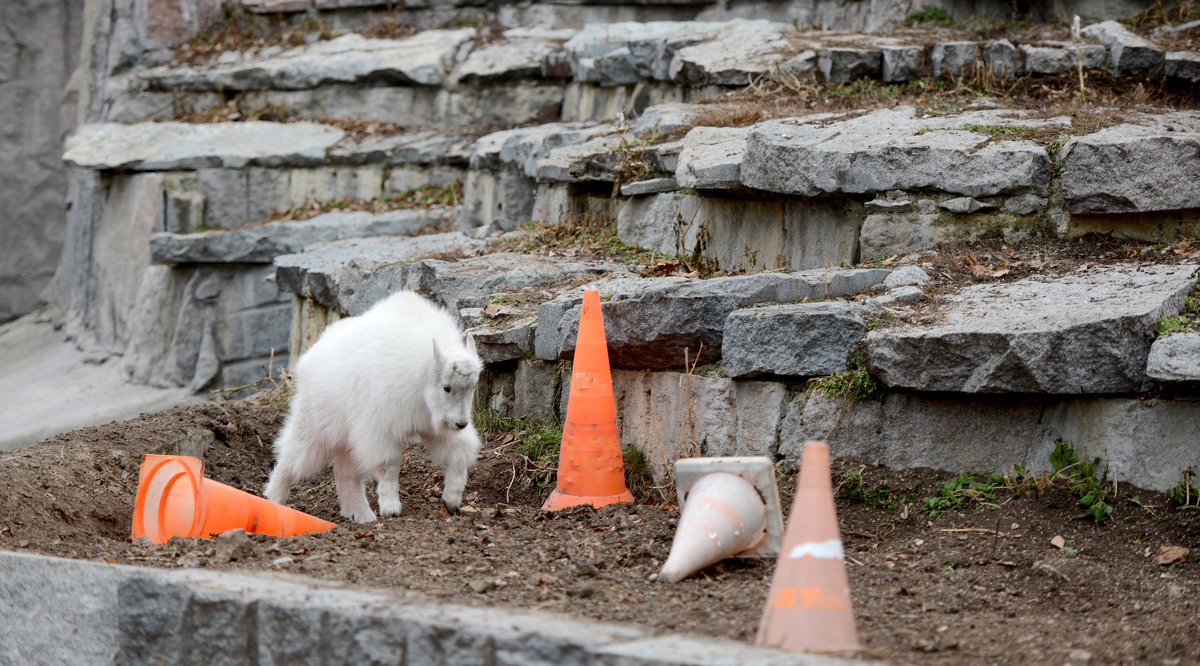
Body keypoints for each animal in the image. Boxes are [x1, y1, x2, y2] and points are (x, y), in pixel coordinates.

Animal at [266, 290, 482, 520]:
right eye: (446, 387)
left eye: (472, 386)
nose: (461, 424)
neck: (422, 373)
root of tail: (310, 355)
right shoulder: (380, 428)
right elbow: (389, 465)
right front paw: (391, 508)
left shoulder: (434, 425)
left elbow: (458, 455)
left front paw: (452, 501)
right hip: (314, 425)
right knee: (290, 460)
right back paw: (274, 501)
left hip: (348, 437)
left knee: (345, 472)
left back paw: (361, 515)